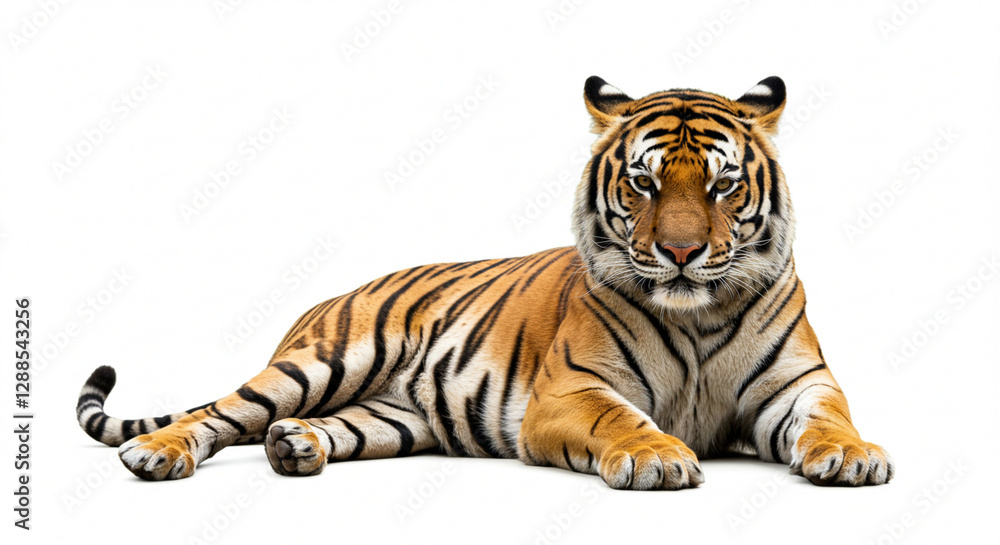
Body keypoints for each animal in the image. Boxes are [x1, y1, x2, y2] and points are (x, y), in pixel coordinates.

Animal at [77, 75, 893, 489]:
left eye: (723, 184)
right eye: (644, 183)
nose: (683, 251)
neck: (695, 313)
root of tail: (326, 297)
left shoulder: (799, 384)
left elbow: (829, 418)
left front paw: (853, 455)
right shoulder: (572, 390)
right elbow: (623, 419)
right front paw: (658, 455)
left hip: (396, 415)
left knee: (327, 425)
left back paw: (294, 446)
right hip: (321, 362)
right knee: (216, 412)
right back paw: (158, 454)